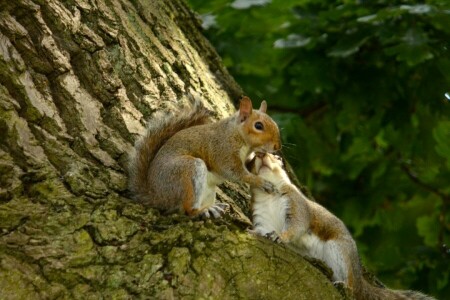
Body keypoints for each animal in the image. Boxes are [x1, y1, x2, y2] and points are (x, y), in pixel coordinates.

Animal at [127, 96, 282, 218]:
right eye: (258, 126)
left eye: (275, 124)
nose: (277, 147)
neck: (237, 134)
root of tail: (157, 196)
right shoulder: (223, 150)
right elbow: (235, 172)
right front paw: (262, 182)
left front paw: (270, 158)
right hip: (187, 171)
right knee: (187, 209)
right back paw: (202, 211)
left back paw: (212, 208)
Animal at [246, 152, 436, 300]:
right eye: (251, 160)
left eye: (277, 157)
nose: (261, 155)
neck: (270, 195)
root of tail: (360, 281)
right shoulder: (261, 216)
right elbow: (262, 228)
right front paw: (253, 232)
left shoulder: (296, 204)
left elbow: (297, 226)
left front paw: (280, 236)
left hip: (339, 250)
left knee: (350, 285)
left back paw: (344, 285)